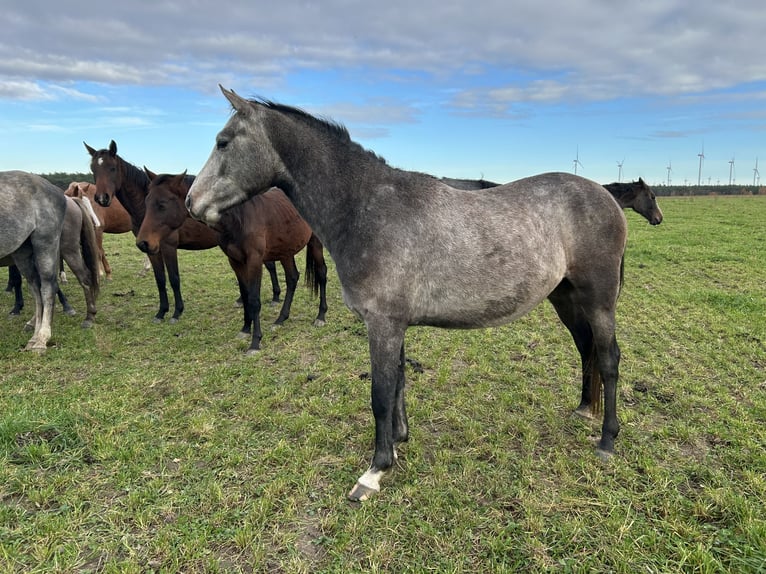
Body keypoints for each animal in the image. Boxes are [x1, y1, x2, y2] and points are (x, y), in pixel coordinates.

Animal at [0, 171, 67, 352]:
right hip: (22, 254)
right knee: (36, 289)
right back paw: (34, 336)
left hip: (45, 243)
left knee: (47, 288)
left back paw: (41, 339)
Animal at [84, 140, 219, 323]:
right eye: (93, 170)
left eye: (112, 168)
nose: (101, 198)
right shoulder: (150, 247)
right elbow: (160, 279)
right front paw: (161, 312)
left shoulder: (168, 246)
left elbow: (174, 279)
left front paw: (177, 312)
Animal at [136, 170, 328, 354]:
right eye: (146, 202)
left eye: (162, 204)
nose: (143, 243)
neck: (239, 218)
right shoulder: (235, 261)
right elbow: (245, 294)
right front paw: (245, 330)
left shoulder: (254, 261)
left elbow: (254, 299)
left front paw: (255, 343)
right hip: (286, 250)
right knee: (292, 278)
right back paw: (280, 319)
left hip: (315, 244)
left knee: (321, 273)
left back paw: (320, 317)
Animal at [186, 87, 627, 502]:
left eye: (223, 142)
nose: (192, 203)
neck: (366, 210)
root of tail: (606, 197)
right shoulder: (394, 324)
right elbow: (397, 382)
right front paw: (398, 441)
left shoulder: (383, 324)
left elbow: (381, 394)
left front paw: (375, 471)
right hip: (565, 297)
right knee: (585, 348)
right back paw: (584, 409)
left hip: (598, 300)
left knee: (608, 358)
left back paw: (607, 440)